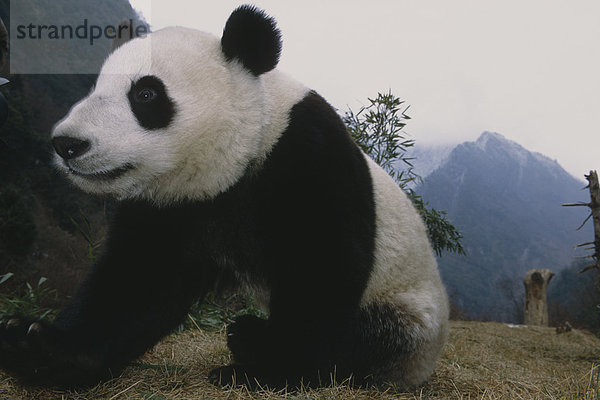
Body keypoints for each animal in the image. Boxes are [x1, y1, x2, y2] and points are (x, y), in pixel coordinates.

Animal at [0, 4, 450, 390]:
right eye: (96, 86)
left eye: (145, 94)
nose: (67, 144)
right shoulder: (173, 203)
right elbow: (138, 279)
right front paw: (36, 346)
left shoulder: (307, 154)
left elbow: (320, 266)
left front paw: (269, 372)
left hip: (404, 319)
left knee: (366, 340)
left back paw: (252, 340)